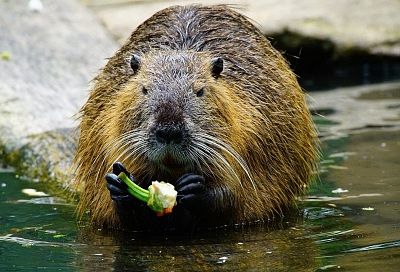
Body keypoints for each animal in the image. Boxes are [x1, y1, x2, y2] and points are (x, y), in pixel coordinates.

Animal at [73, 3, 318, 230]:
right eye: (144, 89)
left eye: (199, 91)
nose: (168, 131)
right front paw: (119, 184)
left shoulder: (252, 130)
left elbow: (239, 196)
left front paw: (195, 188)